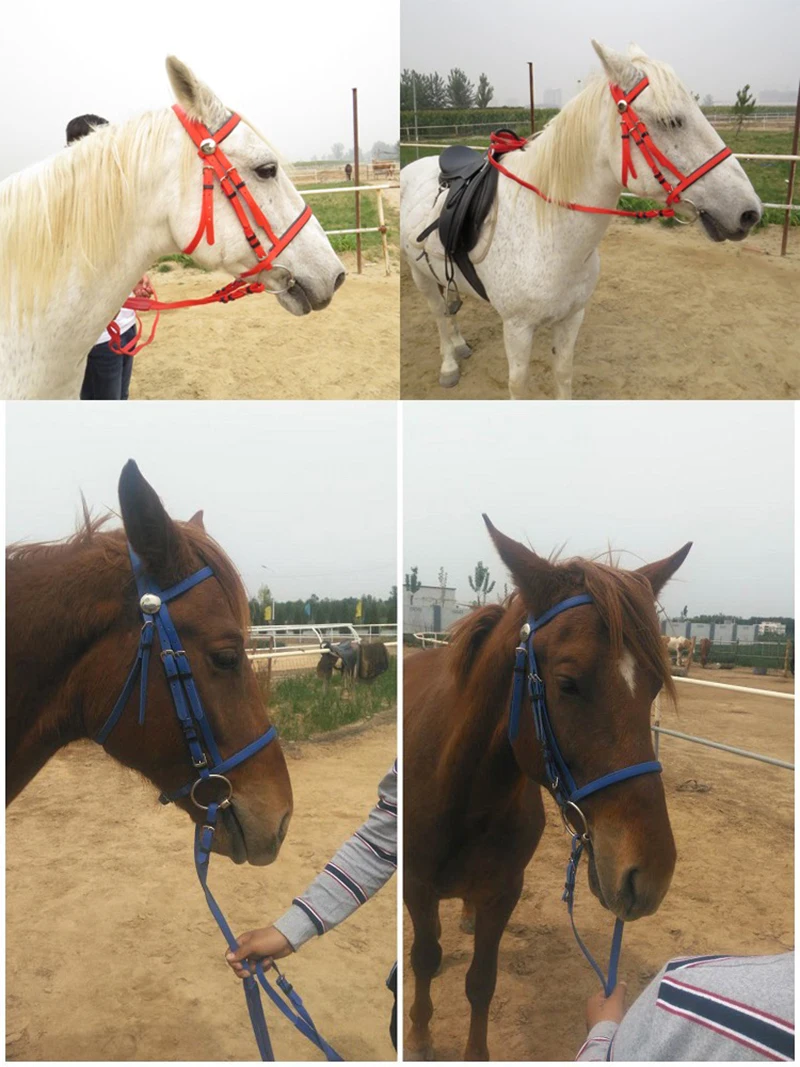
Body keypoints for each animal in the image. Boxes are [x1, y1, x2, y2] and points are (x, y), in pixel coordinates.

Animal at [400, 40, 762, 399]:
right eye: (672, 121)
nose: (750, 212)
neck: (549, 235)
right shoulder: (517, 328)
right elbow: (518, 385)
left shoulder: (572, 317)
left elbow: (563, 374)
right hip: (420, 277)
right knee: (438, 315)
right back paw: (449, 364)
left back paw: (460, 344)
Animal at [404, 517, 691, 1060]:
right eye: (567, 683)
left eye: (652, 686)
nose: (652, 874)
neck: (462, 794)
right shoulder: (417, 886)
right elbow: (425, 959)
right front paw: (420, 1035)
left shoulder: (504, 890)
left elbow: (482, 982)